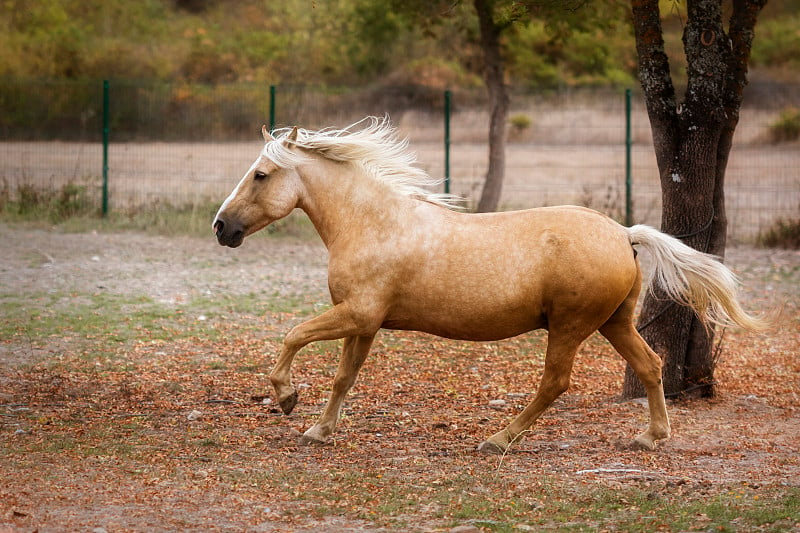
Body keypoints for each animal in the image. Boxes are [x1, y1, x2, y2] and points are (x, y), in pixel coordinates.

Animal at [212, 116, 764, 454]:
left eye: (260, 175)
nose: (222, 228)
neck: (374, 223)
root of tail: (624, 233)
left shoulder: (358, 314)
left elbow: (293, 336)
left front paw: (286, 398)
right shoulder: (364, 323)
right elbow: (344, 378)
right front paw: (319, 430)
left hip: (570, 326)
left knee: (555, 383)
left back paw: (499, 439)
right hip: (614, 323)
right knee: (650, 365)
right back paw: (651, 437)